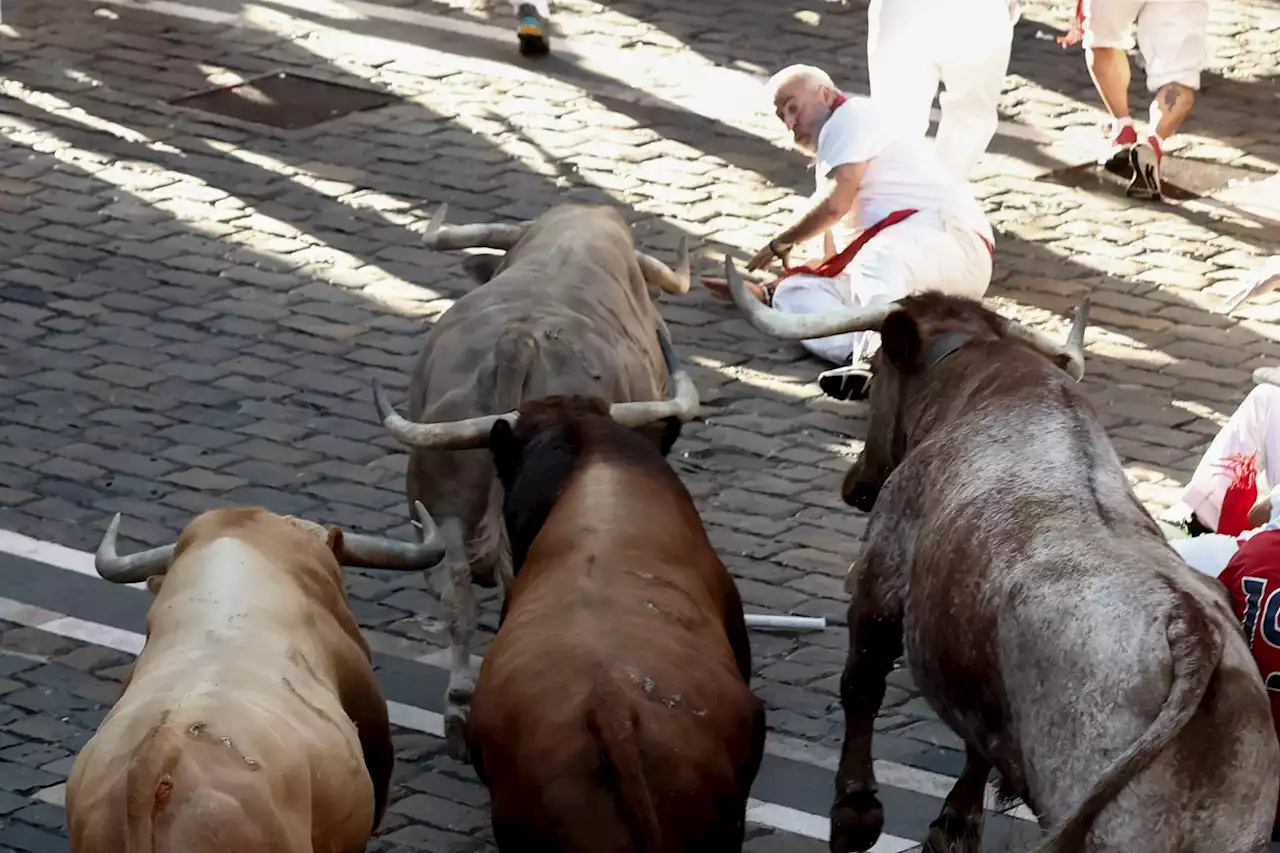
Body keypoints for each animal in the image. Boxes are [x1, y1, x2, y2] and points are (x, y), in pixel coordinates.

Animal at [732, 262, 1280, 850]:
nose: (857, 484)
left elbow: (862, 684)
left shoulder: (880, 580)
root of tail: (1191, 631)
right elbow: (979, 751)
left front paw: (856, 811)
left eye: (876, 370)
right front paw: (952, 825)